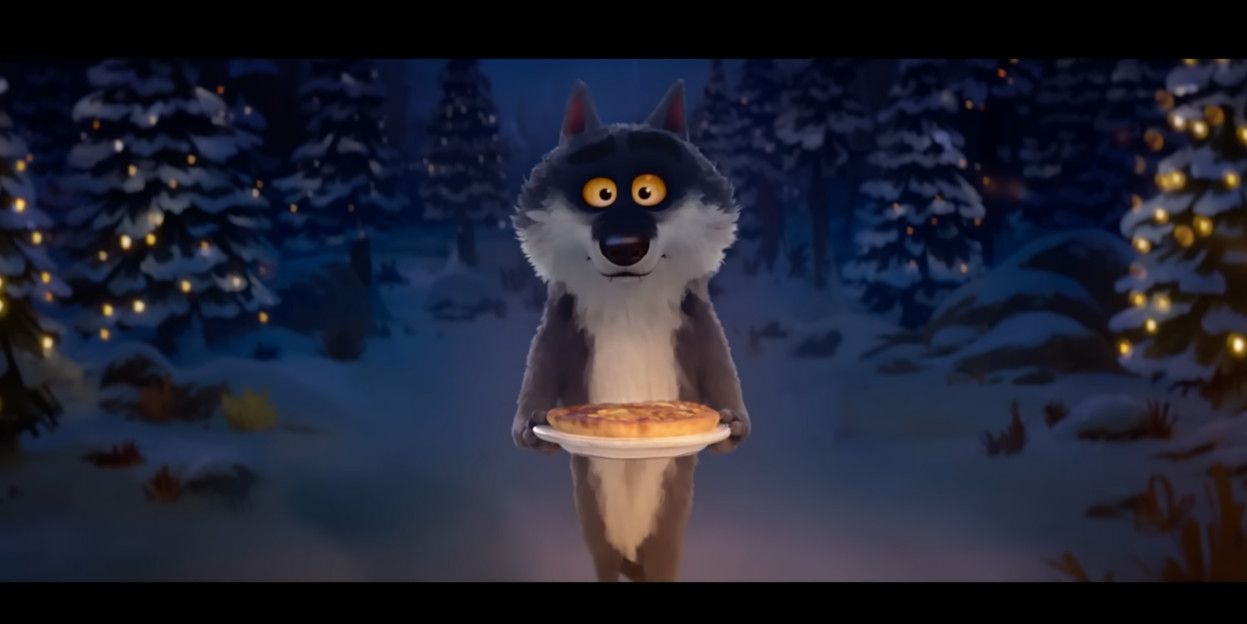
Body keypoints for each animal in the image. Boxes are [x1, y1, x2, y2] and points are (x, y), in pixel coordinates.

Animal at [511, 80, 750, 582]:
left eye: (648, 191)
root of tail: (629, 554)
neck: (629, 302)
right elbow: (541, 363)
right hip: (593, 507)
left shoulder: (695, 316)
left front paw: (734, 423)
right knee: (602, 555)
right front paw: (529, 426)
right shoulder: (563, 318)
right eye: (600, 193)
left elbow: (718, 362)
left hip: (669, 512)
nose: (624, 247)